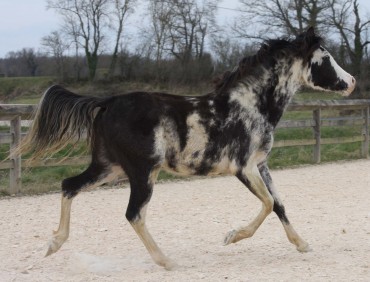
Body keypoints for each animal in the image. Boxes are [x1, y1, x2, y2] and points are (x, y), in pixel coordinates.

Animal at [18, 27, 356, 270]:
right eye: (326, 59)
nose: (351, 81)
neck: (250, 106)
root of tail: (106, 102)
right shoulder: (243, 167)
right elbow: (269, 204)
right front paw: (231, 237)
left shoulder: (261, 165)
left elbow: (280, 205)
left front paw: (302, 244)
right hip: (141, 172)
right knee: (134, 214)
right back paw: (167, 262)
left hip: (108, 167)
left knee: (69, 185)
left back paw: (53, 244)